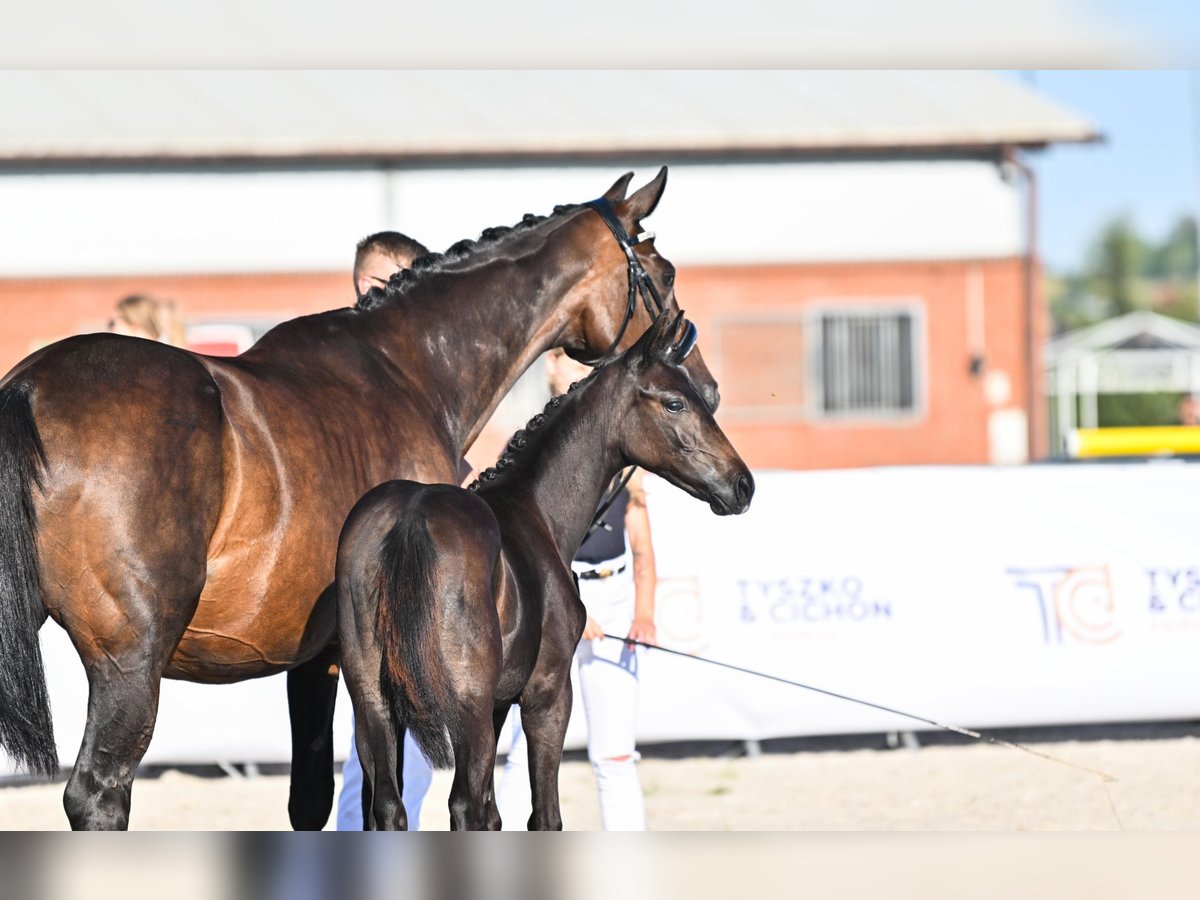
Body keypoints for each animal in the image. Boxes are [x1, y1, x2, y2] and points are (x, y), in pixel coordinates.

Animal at [336, 311, 754, 830]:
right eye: (675, 402)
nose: (743, 484)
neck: (536, 511)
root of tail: (411, 515)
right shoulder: (548, 695)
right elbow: (543, 815)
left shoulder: (498, 704)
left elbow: (494, 814)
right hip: (466, 713)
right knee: (462, 805)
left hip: (372, 707)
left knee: (389, 810)